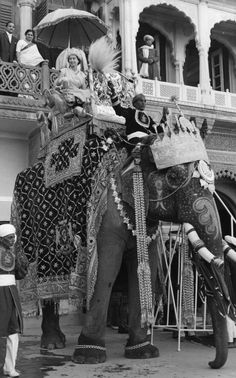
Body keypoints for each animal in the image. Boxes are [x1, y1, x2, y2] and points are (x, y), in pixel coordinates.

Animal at [71, 133, 235, 370]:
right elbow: (106, 270)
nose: (211, 363)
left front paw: (143, 352)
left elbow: (144, 268)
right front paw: (89, 356)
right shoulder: (107, 218)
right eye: (174, 176)